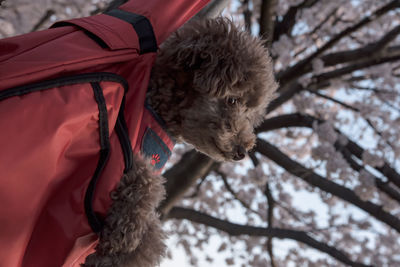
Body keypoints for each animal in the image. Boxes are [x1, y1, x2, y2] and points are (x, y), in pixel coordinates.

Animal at [84, 17, 278, 267]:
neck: (158, 111)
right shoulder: (127, 146)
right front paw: (124, 234)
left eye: (251, 112)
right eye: (233, 100)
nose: (242, 151)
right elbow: (146, 179)